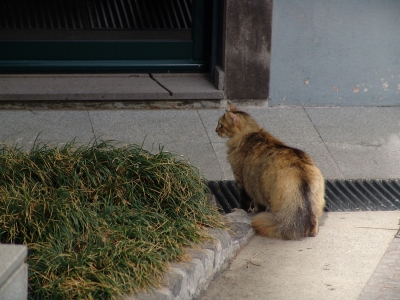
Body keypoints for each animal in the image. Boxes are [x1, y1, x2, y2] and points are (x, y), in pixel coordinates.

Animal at [216, 102, 324, 240]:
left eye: (220, 125)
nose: (216, 130)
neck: (250, 133)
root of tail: (301, 174)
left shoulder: (243, 182)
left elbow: (245, 203)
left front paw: (244, 211)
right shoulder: (255, 187)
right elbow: (258, 205)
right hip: (315, 204)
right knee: (314, 220)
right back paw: (312, 233)